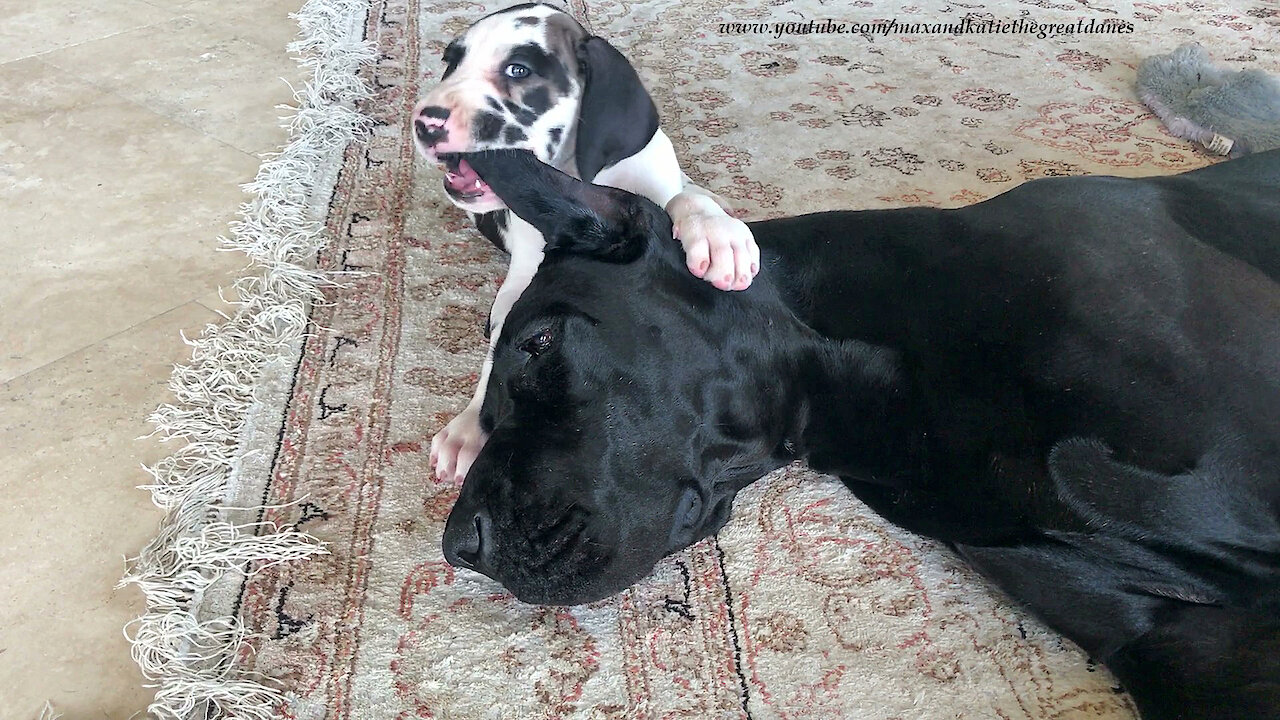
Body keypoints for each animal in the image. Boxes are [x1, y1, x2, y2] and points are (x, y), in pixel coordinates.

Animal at [412, 2, 757, 481]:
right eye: (451, 63)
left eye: (519, 69)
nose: (425, 123)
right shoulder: (520, 284)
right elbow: (501, 341)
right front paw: (468, 426)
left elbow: (679, 197)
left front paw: (717, 234)